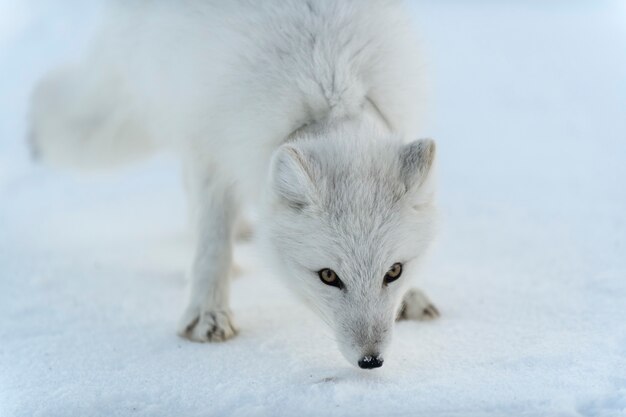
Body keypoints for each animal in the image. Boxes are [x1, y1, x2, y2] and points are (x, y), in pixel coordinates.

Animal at [30, 0, 438, 368]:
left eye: (394, 271)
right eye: (328, 276)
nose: (371, 361)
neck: (330, 89)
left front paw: (412, 296)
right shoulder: (211, 142)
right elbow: (212, 239)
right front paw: (206, 313)